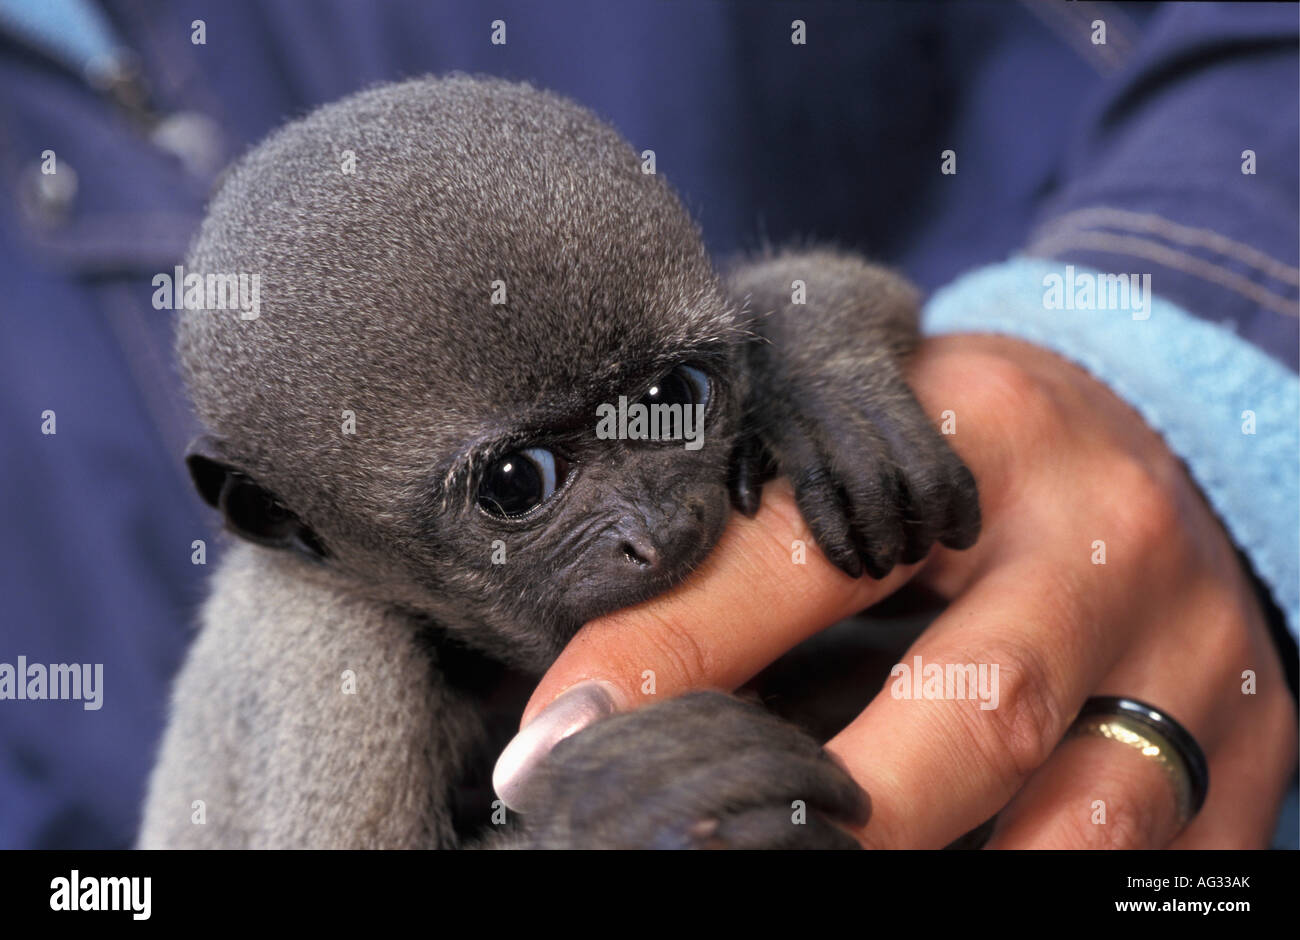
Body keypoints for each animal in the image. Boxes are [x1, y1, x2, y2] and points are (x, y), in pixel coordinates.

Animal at [137, 75, 979, 850]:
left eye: (671, 396)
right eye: (516, 483)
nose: (660, 526)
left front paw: (818, 380)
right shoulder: (319, 649)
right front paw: (625, 800)